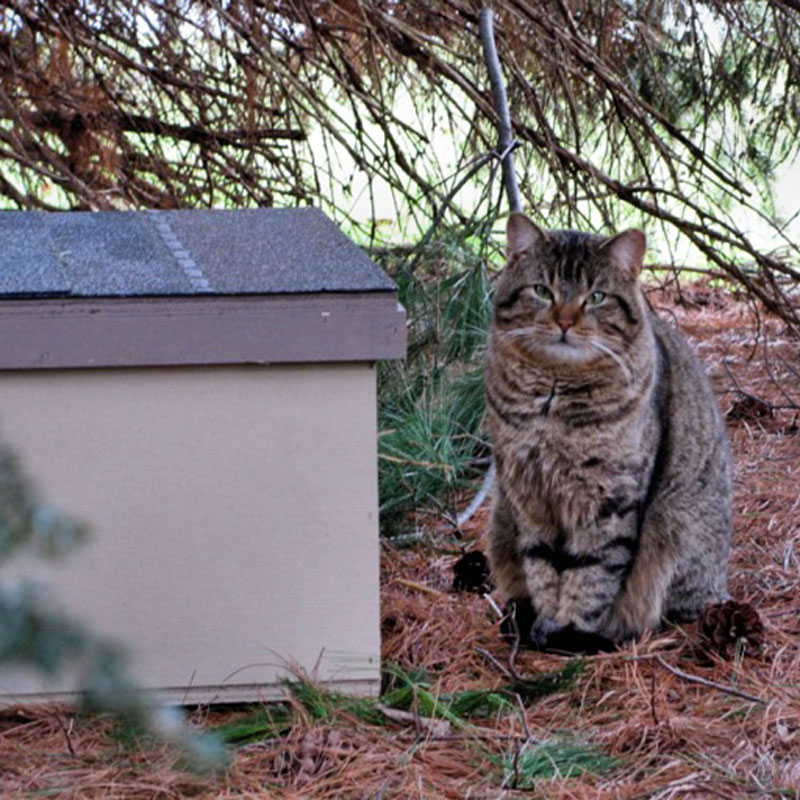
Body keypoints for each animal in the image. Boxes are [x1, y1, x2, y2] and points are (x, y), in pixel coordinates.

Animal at [484, 211, 736, 648]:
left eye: (597, 297)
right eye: (542, 291)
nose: (565, 320)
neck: (554, 404)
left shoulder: (608, 498)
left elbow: (592, 573)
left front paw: (568, 630)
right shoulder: (527, 493)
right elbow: (541, 566)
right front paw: (546, 621)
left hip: (679, 527)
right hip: (500, 519)